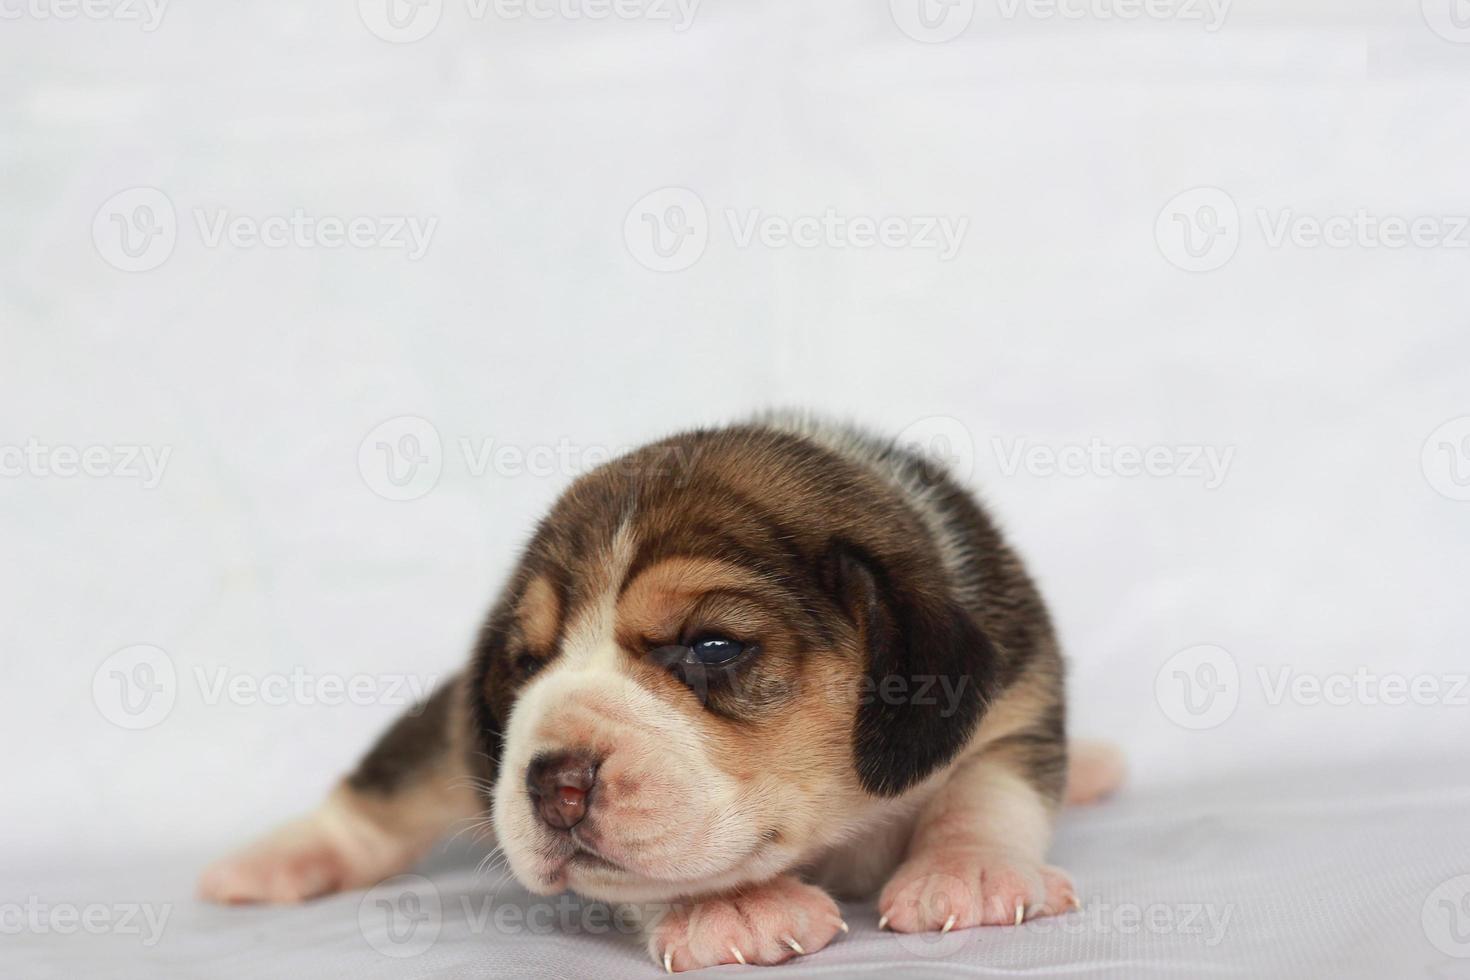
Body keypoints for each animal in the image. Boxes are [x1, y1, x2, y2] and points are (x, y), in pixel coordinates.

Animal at [201, 414, 1117, 975]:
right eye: (525, 663)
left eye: (712, 646)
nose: (553, 782)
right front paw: (733, 908)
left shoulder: (1018, 698)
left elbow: (986, 789)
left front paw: (969, 871)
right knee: (383, 790)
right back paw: (269, 861)